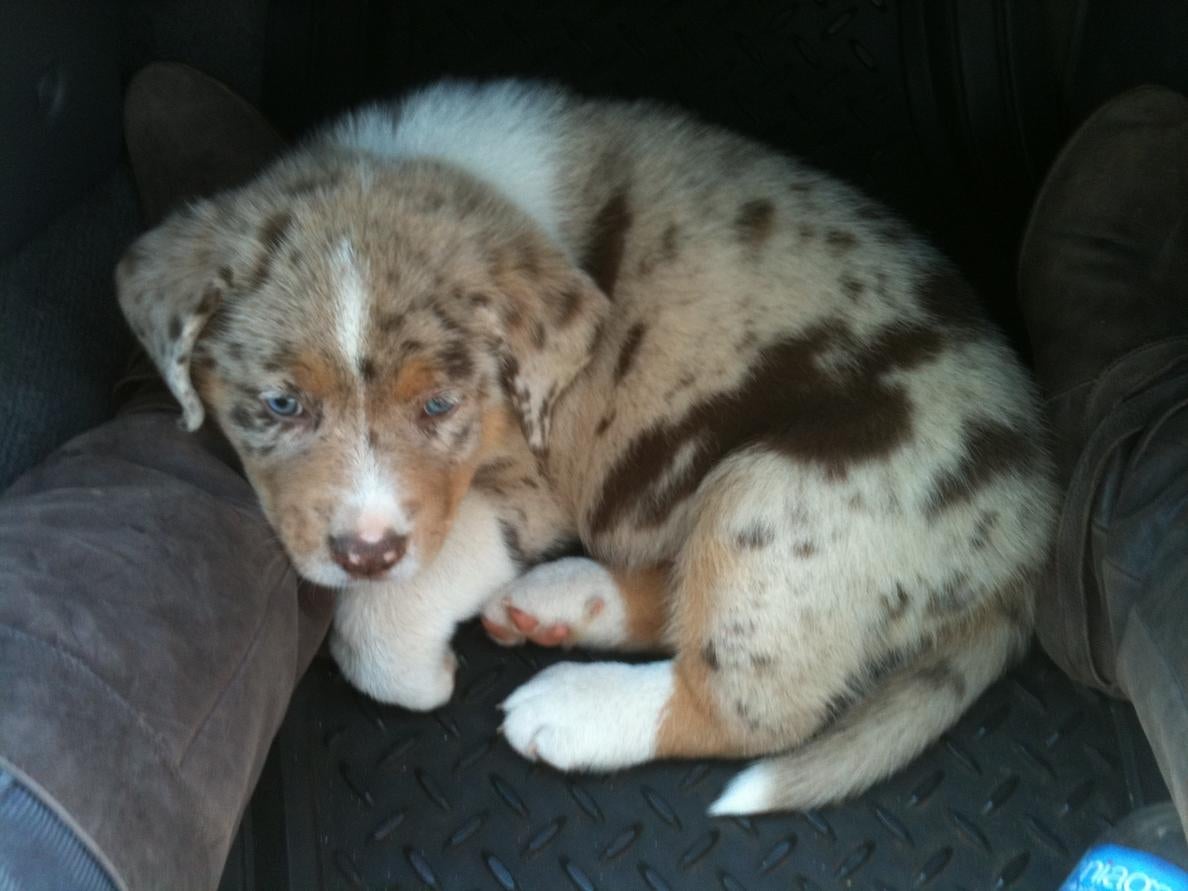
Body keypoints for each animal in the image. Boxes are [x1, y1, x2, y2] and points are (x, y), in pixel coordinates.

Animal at [115, 80, 1054, 812]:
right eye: (281, 404)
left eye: (440, 404)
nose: (366, 549)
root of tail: (1026, 545)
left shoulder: (522, 489)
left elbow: (388, 612)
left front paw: (415, 666)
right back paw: (564, 600)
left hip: (786, 499)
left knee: (747, 705)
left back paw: (573, 708)